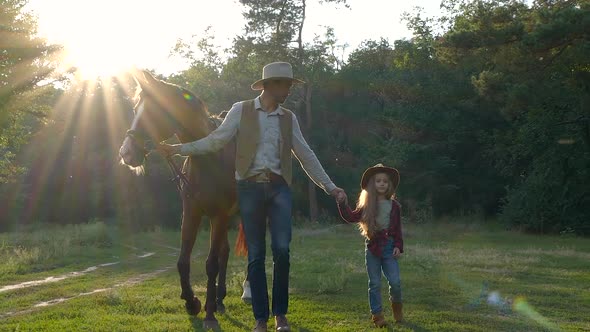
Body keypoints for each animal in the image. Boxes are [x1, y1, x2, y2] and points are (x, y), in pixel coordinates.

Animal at [119, 68, 249, 328]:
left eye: (153, 111)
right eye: (136, 107)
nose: (126, 153)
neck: (208, 157)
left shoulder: (219, 215)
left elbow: (210, 264)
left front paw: (208, 315)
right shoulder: (193, 212)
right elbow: (183, 262)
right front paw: (193, 303)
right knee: (225, 252)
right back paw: (219, 301)